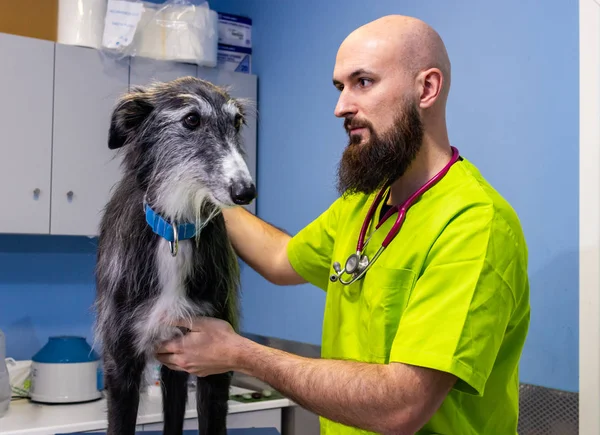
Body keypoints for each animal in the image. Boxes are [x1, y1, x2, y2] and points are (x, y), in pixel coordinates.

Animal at [93, 76, 255, 434]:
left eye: (237, 121)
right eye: (191, 119)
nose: (246, 192)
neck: (175, 231)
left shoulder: (213, 360)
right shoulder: (121, 362)